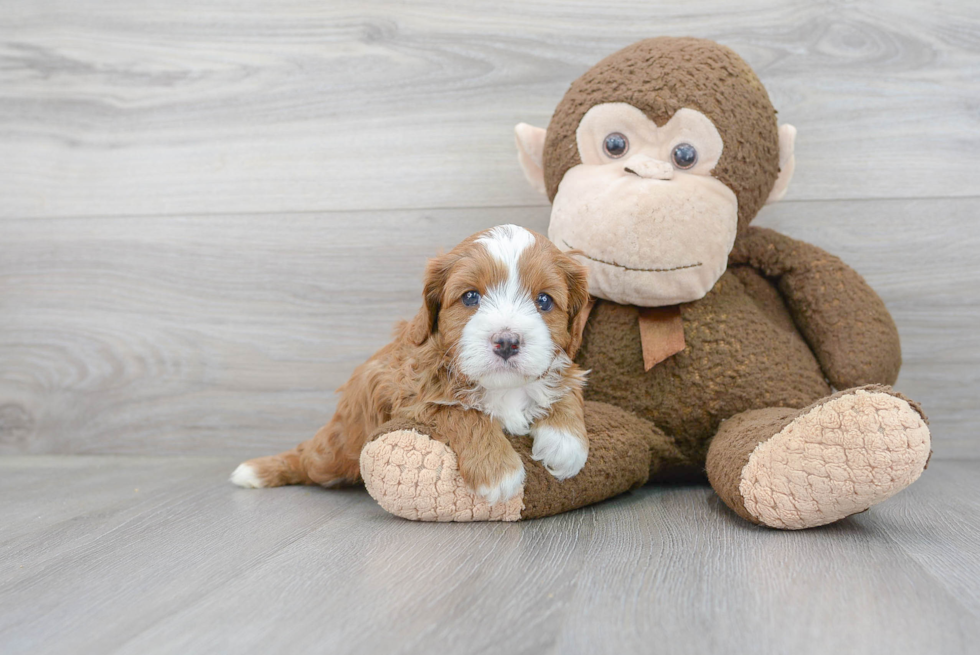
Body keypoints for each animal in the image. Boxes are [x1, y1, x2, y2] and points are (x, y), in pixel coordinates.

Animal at [232, 224, 588, 502]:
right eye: (471, 297)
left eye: (544, 301)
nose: (507, 341)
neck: (501, 387)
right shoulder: (410, 395)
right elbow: (461, 412)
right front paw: (498, 472)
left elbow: (567, 385)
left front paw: (566, 443)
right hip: (339, 448)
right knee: (310, 458)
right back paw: (257, 471)